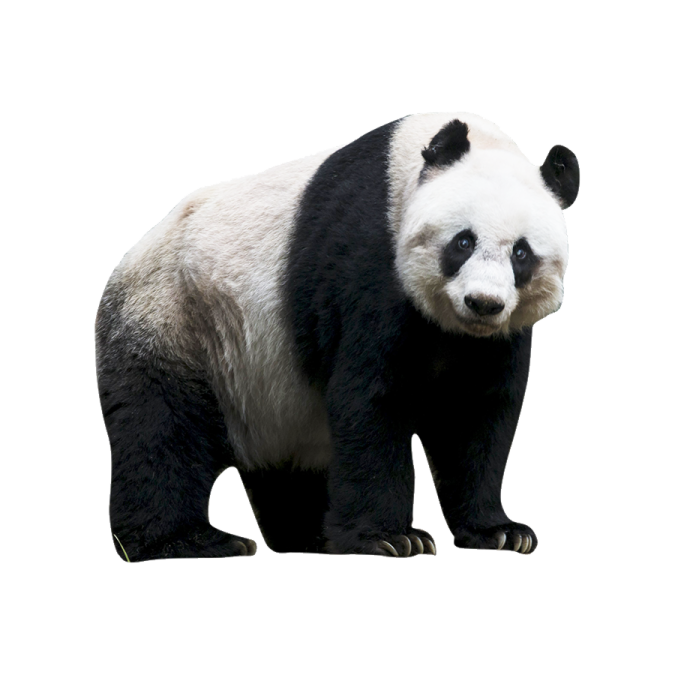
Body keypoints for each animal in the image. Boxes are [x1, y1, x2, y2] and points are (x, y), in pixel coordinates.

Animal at [95, 111, 579, 561]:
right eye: (462, 242)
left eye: (522, 253)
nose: (483, 303)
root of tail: (128, 257)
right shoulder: (367, 259)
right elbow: (370, 399)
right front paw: (392, 538)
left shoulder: (495, 337)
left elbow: (474, 414)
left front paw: (501, 531)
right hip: (178, 317)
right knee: (163, 430)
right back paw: (191, 540)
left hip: (271, 388)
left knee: (289, 461)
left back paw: (310, 535)